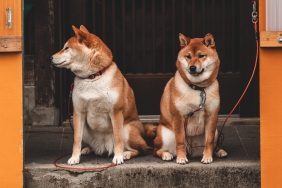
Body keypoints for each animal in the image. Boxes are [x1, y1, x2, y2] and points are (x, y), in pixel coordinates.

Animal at [51, 25, 151, 164]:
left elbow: (118, 138)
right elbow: (76, 140)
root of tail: (103, 148)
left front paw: (118, 157)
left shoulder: (116, 112)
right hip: (84, 129)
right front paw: (74, 157)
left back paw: (126, 154)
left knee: (141, 149)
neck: (92, 77)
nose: (51, 57)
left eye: (66, 48)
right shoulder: (78, 113)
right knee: (89, 144)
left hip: (127, 129)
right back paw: (87, 149)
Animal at [153, 33, 228, 164]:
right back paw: (166, 154)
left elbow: (209, 141)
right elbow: (180, 141)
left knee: (213, 144)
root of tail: (192, 151)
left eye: (201, 56)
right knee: (156, 150)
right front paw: (181, 158)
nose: (192, 67)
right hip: (166, 134)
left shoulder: (212, 115)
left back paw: (219, 151)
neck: (198, 88)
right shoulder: (179, 117)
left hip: (216, 132)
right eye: (188, 56)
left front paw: (207, 157)